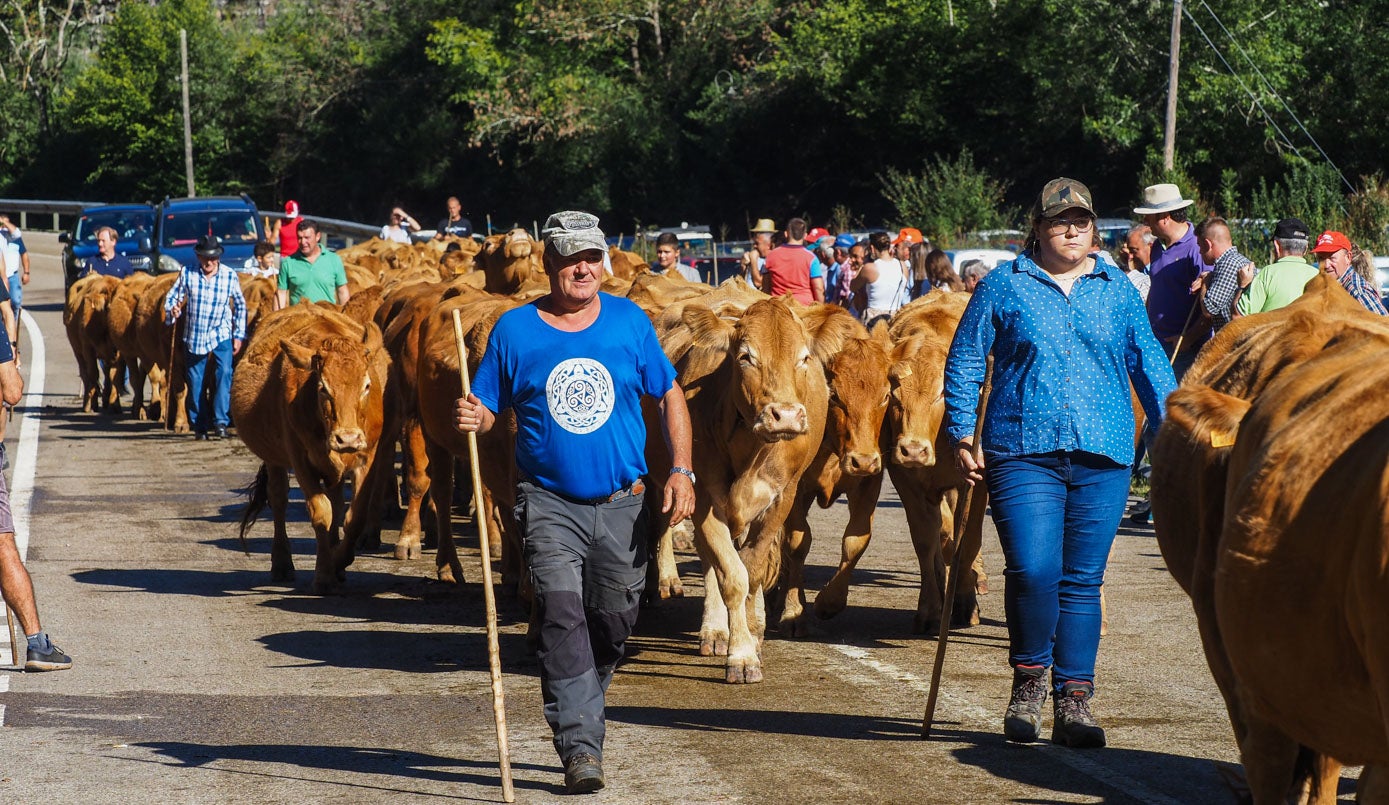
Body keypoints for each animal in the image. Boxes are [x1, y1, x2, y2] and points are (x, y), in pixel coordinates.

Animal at [230, 302, 388, 591]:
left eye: (367, 385)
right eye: (323, 388)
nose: (347, 439)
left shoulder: (367, 456)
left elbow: (354, 516)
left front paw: (339, 561)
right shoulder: (300, 460)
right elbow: (321, 512)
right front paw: (325, 575)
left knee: (336, 499)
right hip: (275, 458)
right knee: (278, 498)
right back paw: (282, 563)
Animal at [669, 292, 827, 682]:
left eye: (804, 357)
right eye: (745, 357)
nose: (786, 415)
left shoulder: (782, 498)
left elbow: (752, 571)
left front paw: (751, 640)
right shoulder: (705, 499)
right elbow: (732, 576)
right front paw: (739, 654)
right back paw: (715, 630)